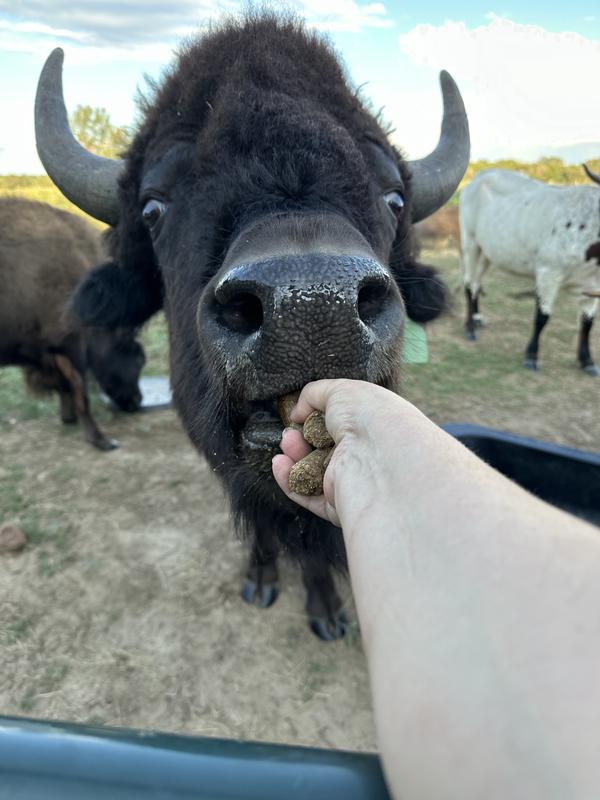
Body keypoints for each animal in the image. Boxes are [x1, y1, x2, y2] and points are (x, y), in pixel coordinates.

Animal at [0, 197, 145, 449]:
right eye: (137, 357)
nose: (137, 401)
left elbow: (65, 386)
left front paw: (69, 418)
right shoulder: (70, 345)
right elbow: (79, 390)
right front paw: (101, 440)